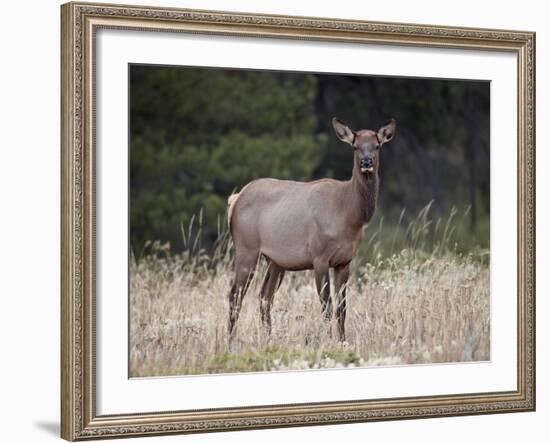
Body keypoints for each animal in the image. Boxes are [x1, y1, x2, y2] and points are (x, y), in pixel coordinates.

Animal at [225, 118, 396, 344]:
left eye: (377, 146)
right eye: (355, 146)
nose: (366, 162)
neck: (349, 214)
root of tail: (235, 199)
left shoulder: (345, 261)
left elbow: (342, 308)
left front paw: (343, 341)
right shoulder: (319, 257)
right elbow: (327, 307)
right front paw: (328, 341)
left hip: (276, 261)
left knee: (264, 296)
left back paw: (268, 339)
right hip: (246, 248)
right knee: (235, 295)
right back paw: (230, 341)